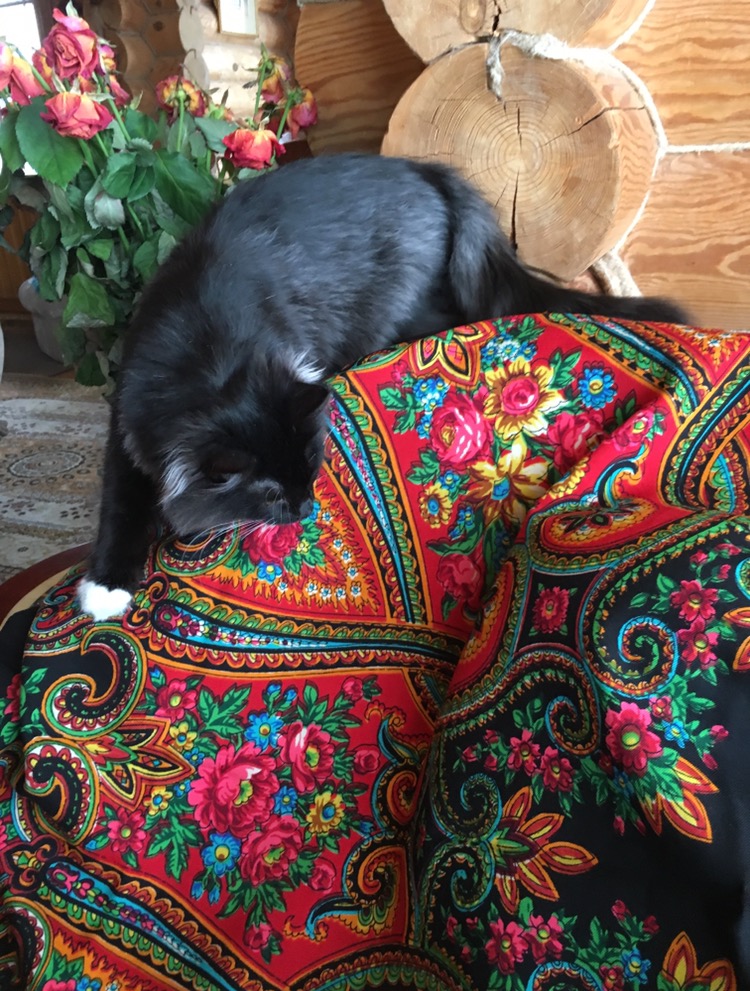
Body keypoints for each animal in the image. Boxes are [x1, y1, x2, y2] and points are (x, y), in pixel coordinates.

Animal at [80, 152, 687, 621]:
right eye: (270, 494)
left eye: (310, 467)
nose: (304, 509)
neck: (210, 358)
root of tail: (429, 173)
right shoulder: (127, 428)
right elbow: (120, 509)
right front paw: (106, 586)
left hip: (401, 303)